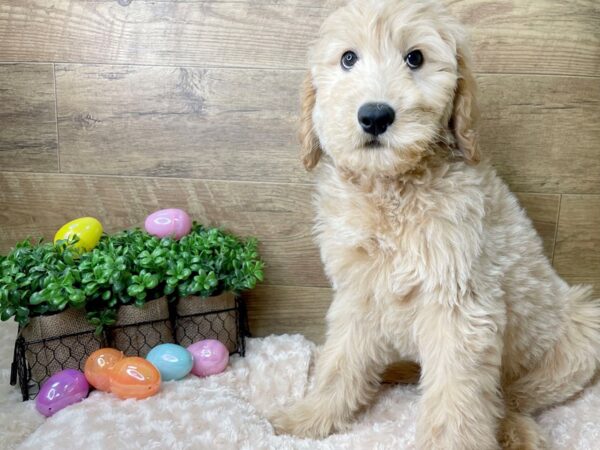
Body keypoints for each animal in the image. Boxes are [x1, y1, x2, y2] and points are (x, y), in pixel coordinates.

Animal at [272, 0, 600, 450]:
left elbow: (455, 399)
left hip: (581, 335)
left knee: (511, 396)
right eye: (348, 59)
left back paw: (515, 430)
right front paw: (310, 415)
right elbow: (340, 361)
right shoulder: (359, 293)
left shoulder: (459, 309)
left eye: (415, 58)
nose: (375, 116)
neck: (392, 188)